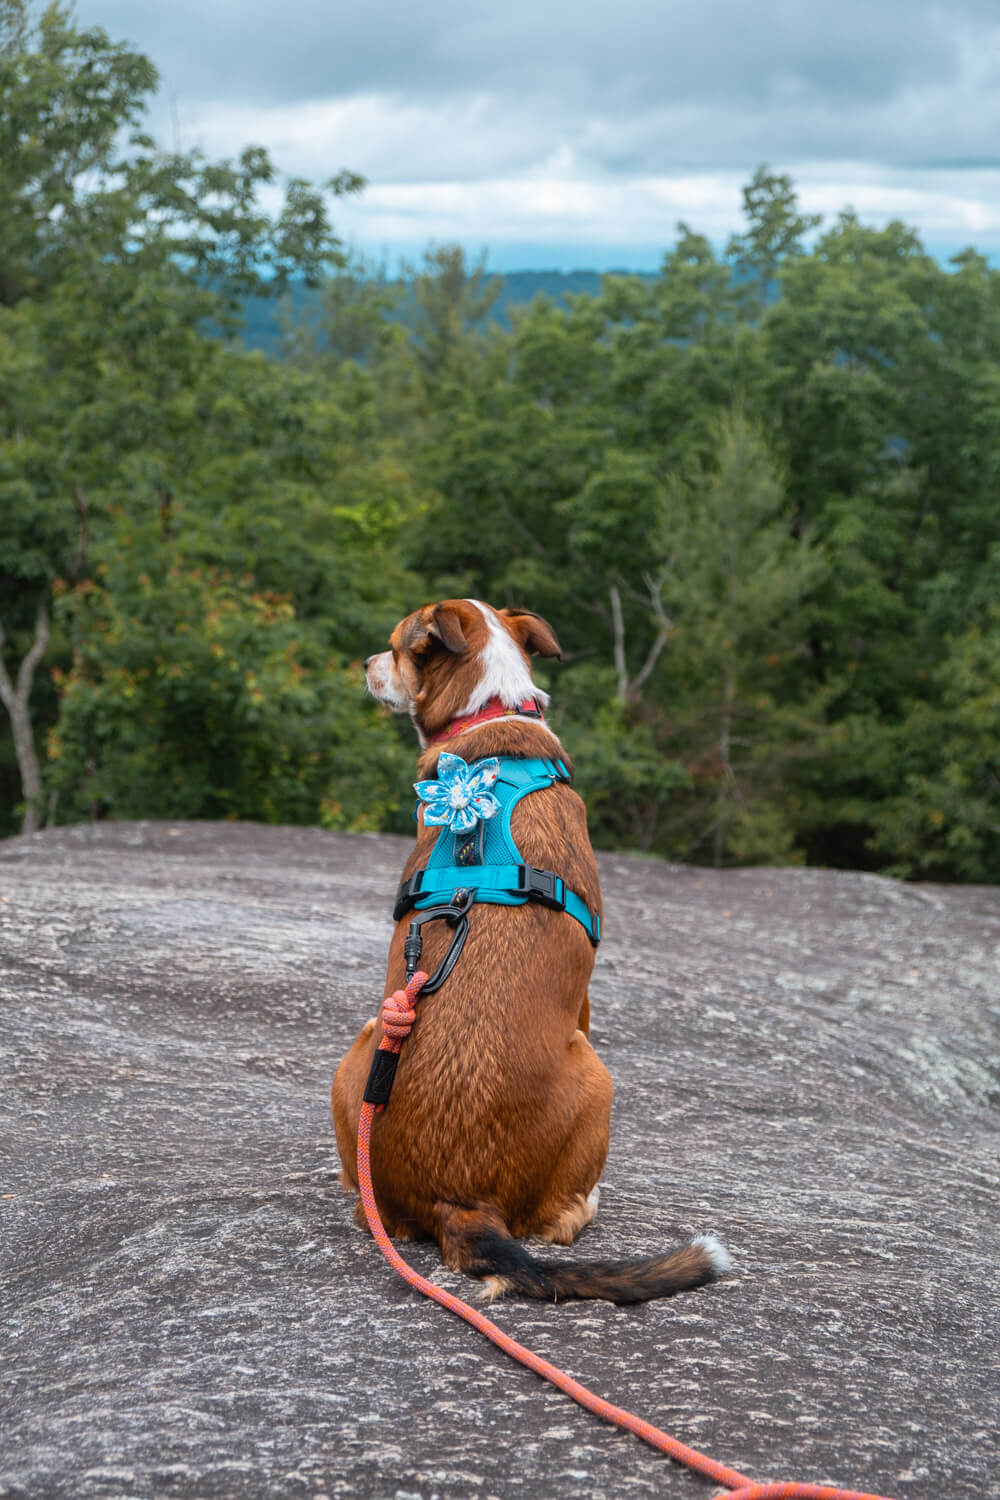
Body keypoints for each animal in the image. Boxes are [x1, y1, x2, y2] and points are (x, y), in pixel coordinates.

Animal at [332, 597, 731, 1302]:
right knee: (557, 1223)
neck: (492, 711)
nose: (366, 662)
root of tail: (458, 1200)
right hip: (598, 1077)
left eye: (397, 649)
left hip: (362, 1047)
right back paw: (585, 1202)